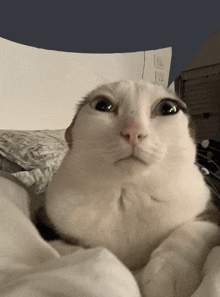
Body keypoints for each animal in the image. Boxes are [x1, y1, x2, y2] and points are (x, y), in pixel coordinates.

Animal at [43, 81, 220, 296]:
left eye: (167, 108)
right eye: (102, 105)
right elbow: (66, 249)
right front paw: (94, 263)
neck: (127, 193)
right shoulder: (47, 217)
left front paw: (168, 273)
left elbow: (190, 230)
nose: (133, 131)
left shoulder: (211, 212)